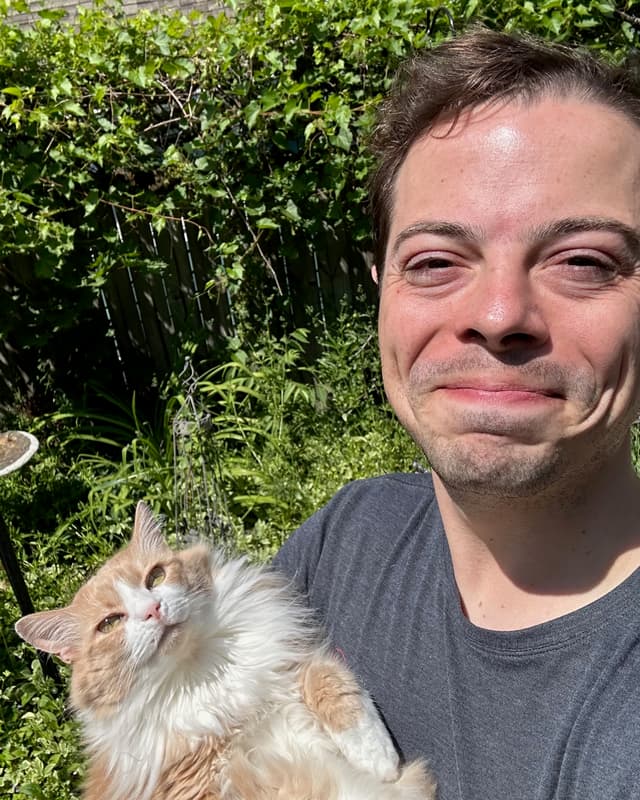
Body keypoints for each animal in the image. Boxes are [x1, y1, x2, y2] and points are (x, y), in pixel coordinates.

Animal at [16, 504, 436, 800]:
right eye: (109, 624)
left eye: (156, 576)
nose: (152, 610)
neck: (203, 672)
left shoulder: (292, 659)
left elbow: (331, 682)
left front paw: (377, 758)